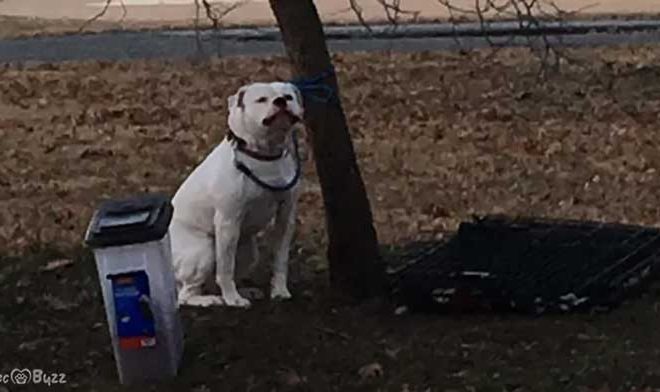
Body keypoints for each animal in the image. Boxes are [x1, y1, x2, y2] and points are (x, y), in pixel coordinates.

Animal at [170, 82, 304, 308]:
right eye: (261, 100)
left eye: (288, 97)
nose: (280, 101)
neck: (265, 154)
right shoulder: (228, 220)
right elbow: (225, 269)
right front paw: (233, 299)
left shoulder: (285, 216)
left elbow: (280, 259)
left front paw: (279, 290)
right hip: (204, 250)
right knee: (185, 294)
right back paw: (209, 300)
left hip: (248, 250)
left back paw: (242, 291)